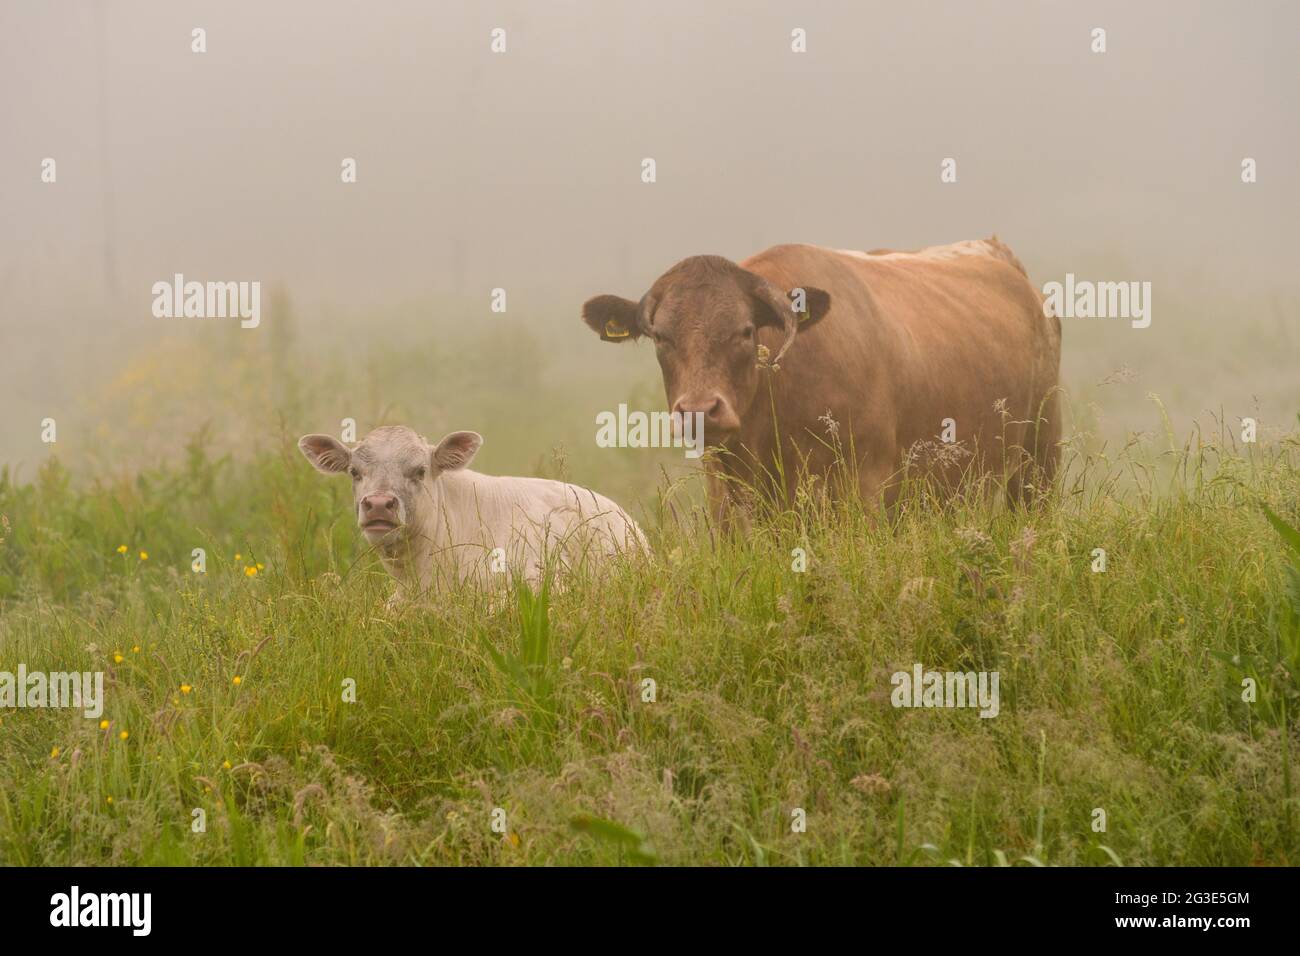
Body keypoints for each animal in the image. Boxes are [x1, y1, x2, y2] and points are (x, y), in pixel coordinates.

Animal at [585, 238, 1060, 515]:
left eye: (745, 331)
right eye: (661, 337)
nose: (701, 410)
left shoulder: (866, 487)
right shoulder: (726, 498)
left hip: (1037, 459)